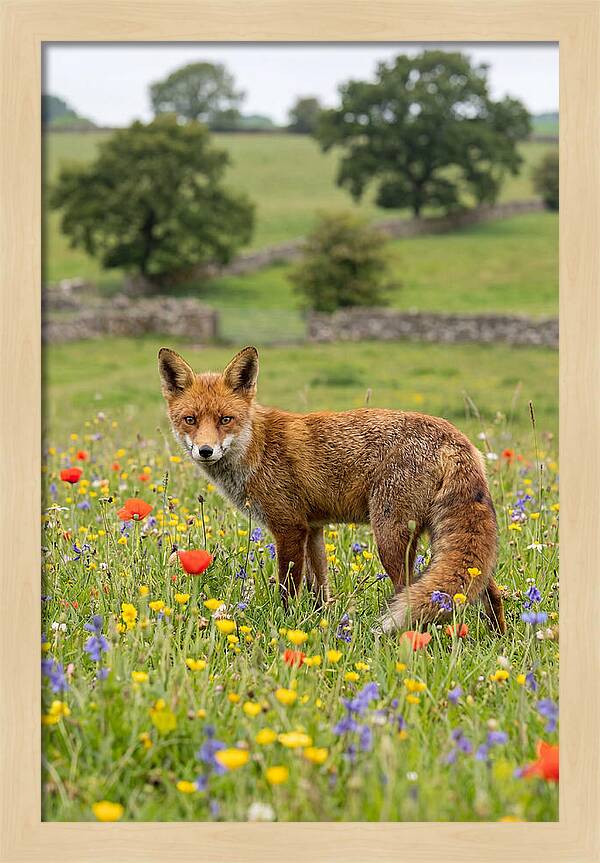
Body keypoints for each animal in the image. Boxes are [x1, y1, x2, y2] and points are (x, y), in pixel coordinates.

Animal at [158, 345, 506, 635]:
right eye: (190, 419)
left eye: (225, 419)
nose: (205, 451)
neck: (256, 447)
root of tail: (454, 436)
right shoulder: (313, 529)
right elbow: (320, 589)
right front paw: (321, 623)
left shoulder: (289, 527)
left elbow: (288, 588)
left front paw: (286, 624)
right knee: (489, 590)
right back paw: (498, 638)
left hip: (390, 537)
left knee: (408, 592)